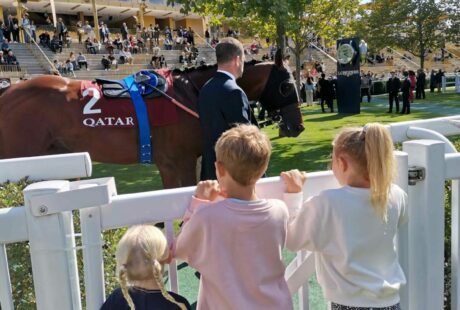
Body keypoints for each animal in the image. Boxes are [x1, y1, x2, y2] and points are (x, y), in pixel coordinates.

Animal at [0, 59, 304, 188]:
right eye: (287, 86)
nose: (297, 126)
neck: (190, 92)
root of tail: (7, 91)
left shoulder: (177, 161)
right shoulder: (178, 160)